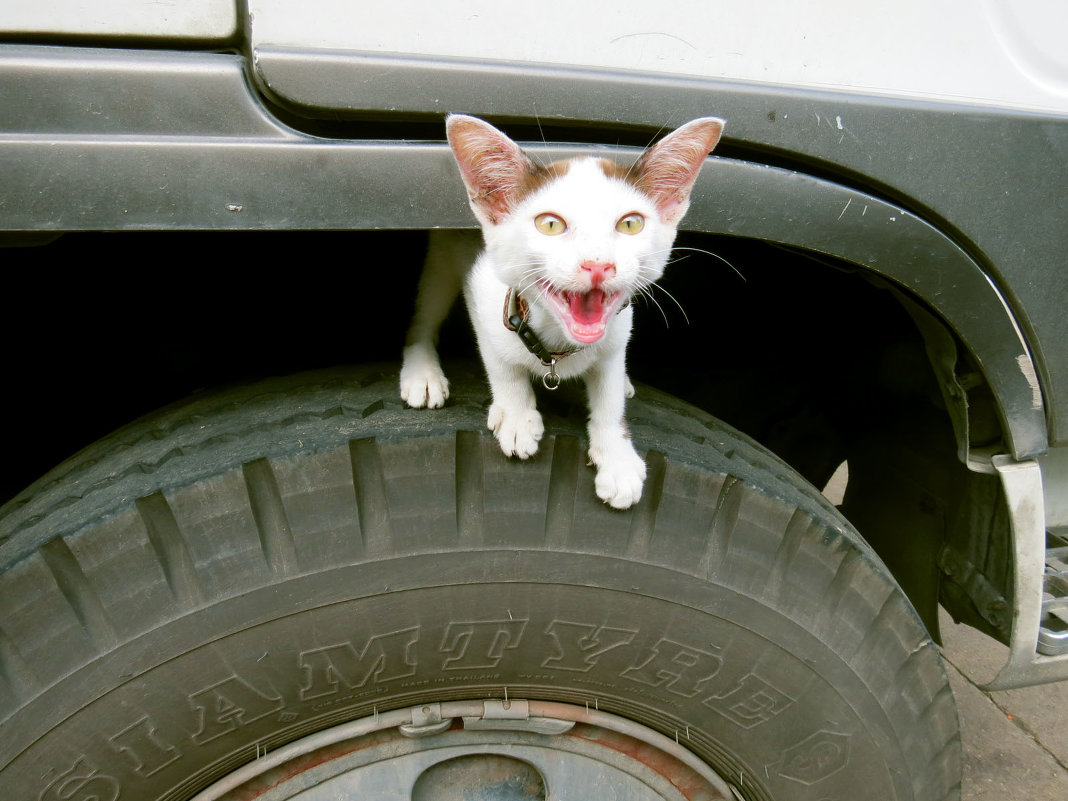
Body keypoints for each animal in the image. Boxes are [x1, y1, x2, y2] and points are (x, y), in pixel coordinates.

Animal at [401, 114, 726, 508]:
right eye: (550, 224)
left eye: (630, 223)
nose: (598, 265)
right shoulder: (483, 292)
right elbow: (500, 363)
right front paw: (516, 413)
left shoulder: (618, 332)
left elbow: (609, 391)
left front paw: (615, 456)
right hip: (444, 254)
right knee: (425, 313)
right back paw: (422, 371)